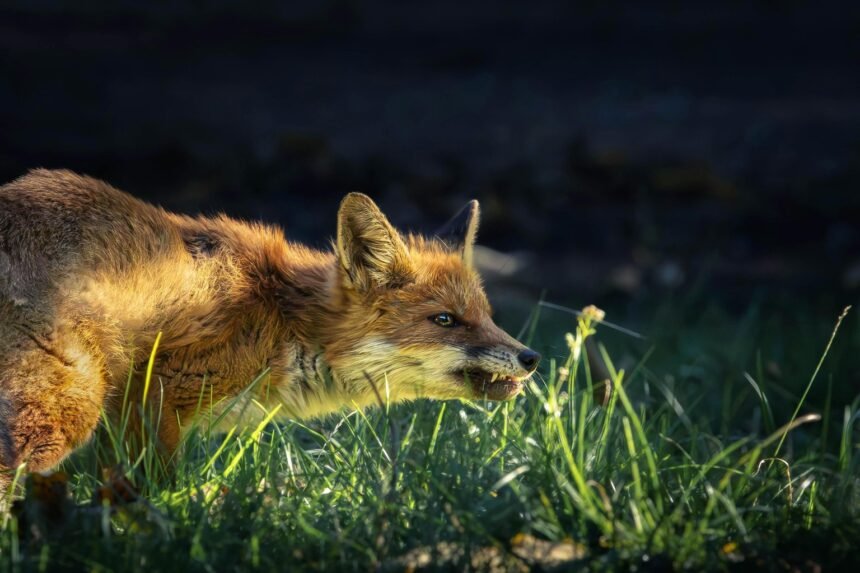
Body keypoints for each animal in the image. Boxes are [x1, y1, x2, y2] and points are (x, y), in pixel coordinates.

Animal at [0, 169, 541, 490]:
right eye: (446, 320)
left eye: (489, 316)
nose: (532, 357)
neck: (279, 317)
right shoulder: (156, 393)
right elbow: (155, 490)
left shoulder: (125, 415)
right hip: (65, 406)